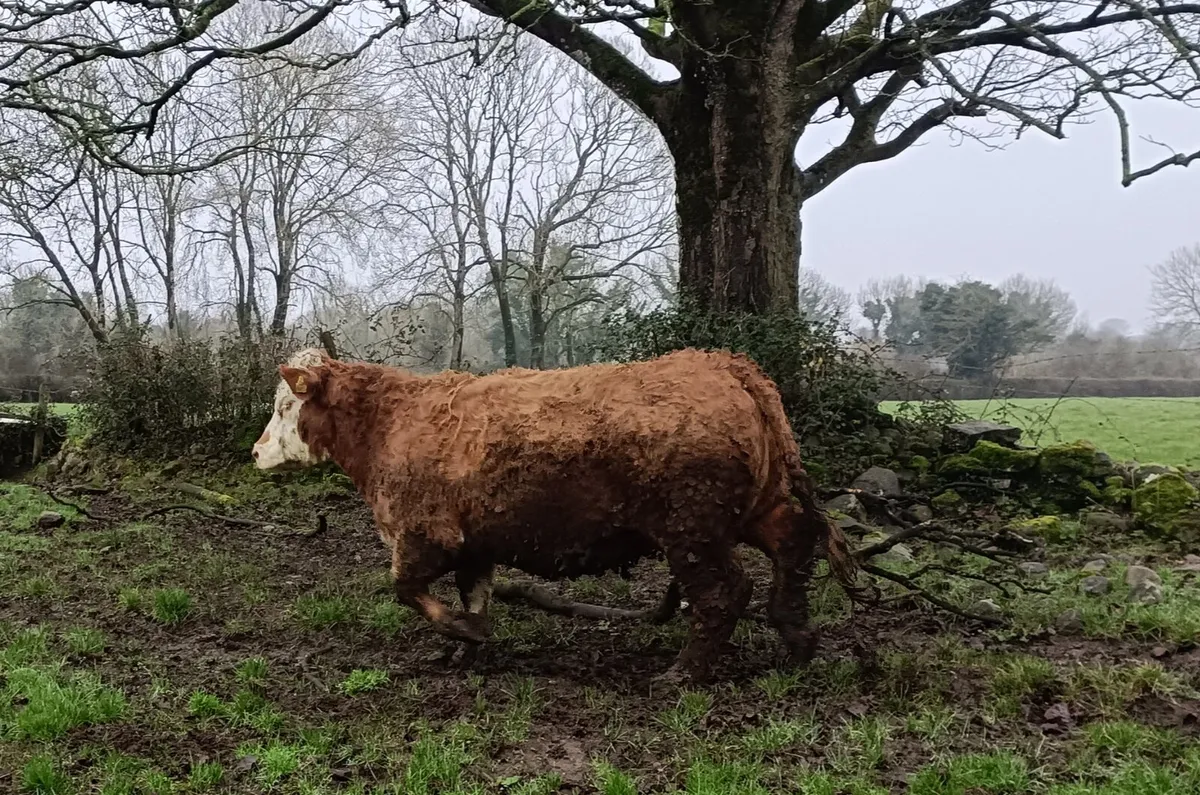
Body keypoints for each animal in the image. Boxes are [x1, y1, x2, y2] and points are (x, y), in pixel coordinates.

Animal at [252, 347, 860, 682]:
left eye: (284, 406)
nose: (256, 451)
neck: (391, 422)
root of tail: (725, 365)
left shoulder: (424, 535)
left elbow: (407, 590)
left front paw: (464, 634)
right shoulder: (475, 544)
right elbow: (475, 595)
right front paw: (468, 648)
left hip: (693, 529)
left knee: (722, 593)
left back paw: (683, 673)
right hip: (754, 507)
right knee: (794, 542)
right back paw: (798, 638)